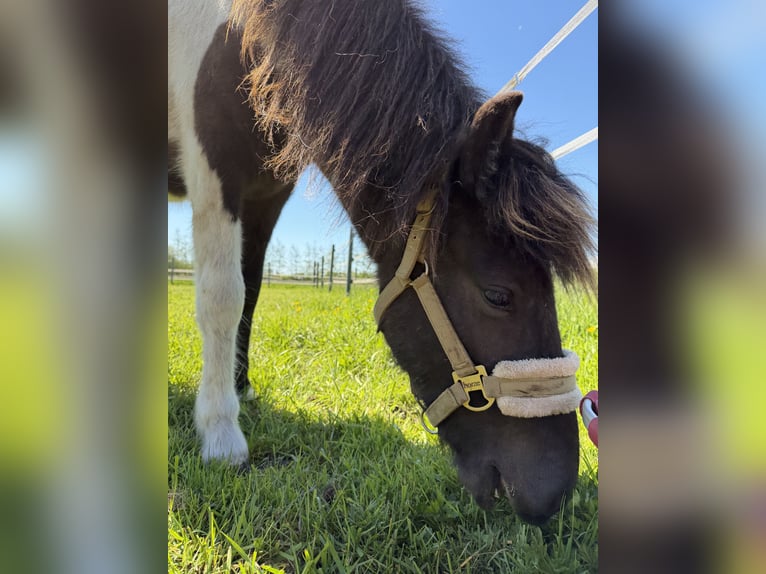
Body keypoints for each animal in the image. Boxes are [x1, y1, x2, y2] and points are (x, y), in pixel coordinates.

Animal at [169, 0, 594, 525]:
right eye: (498, 295)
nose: (553, 494)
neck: (246, 38)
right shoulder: (216, 174)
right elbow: (224, 299)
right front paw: (221, 432)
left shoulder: (267, 193)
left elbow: (251, 291)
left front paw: (239, 386)